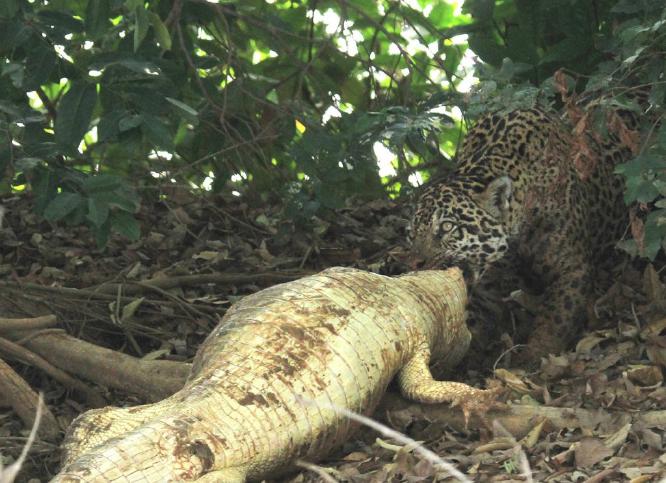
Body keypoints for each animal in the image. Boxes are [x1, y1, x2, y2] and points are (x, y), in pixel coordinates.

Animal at [408, 106, 635, 363]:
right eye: (413, 233)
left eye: (447, 227)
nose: (415, 262)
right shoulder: (486, 290)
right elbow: (472, 324)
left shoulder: (571, 269)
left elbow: (556, 318)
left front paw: (534, 356)